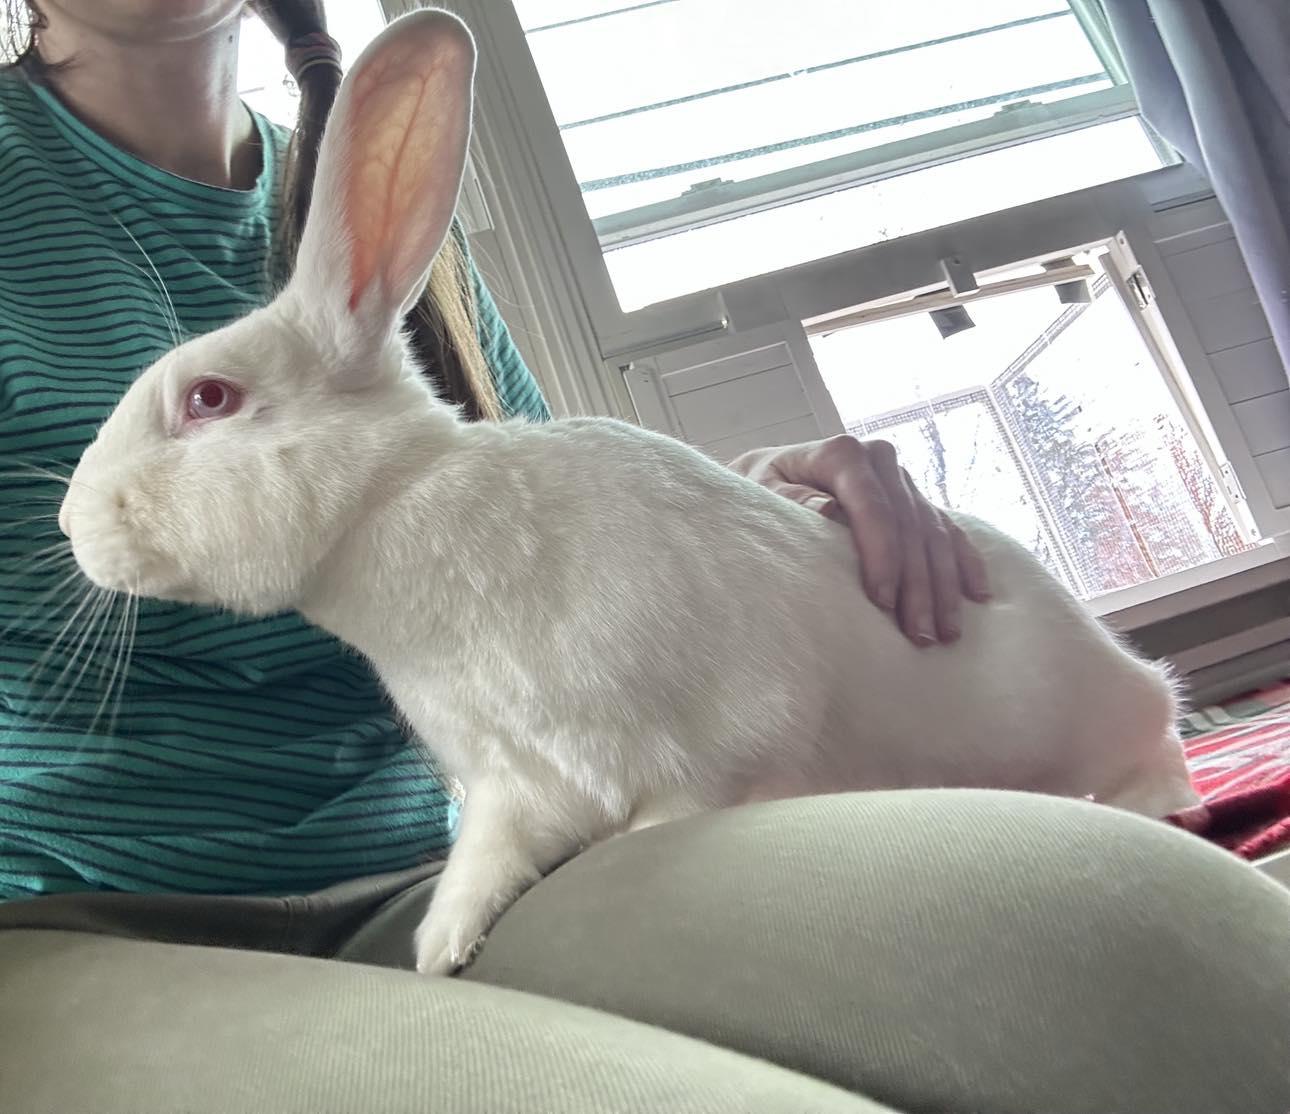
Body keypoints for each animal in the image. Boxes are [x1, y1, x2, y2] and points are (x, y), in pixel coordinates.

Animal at [59, 8, 1199, 976]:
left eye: (209, 397)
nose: (71, 526)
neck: (397, 503)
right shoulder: (512, 787)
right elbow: (486, 861)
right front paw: (443, 948)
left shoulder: (721, 739)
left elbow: (687, 803)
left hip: (1095, 700)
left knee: (1158, 729)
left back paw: (1156, 796)